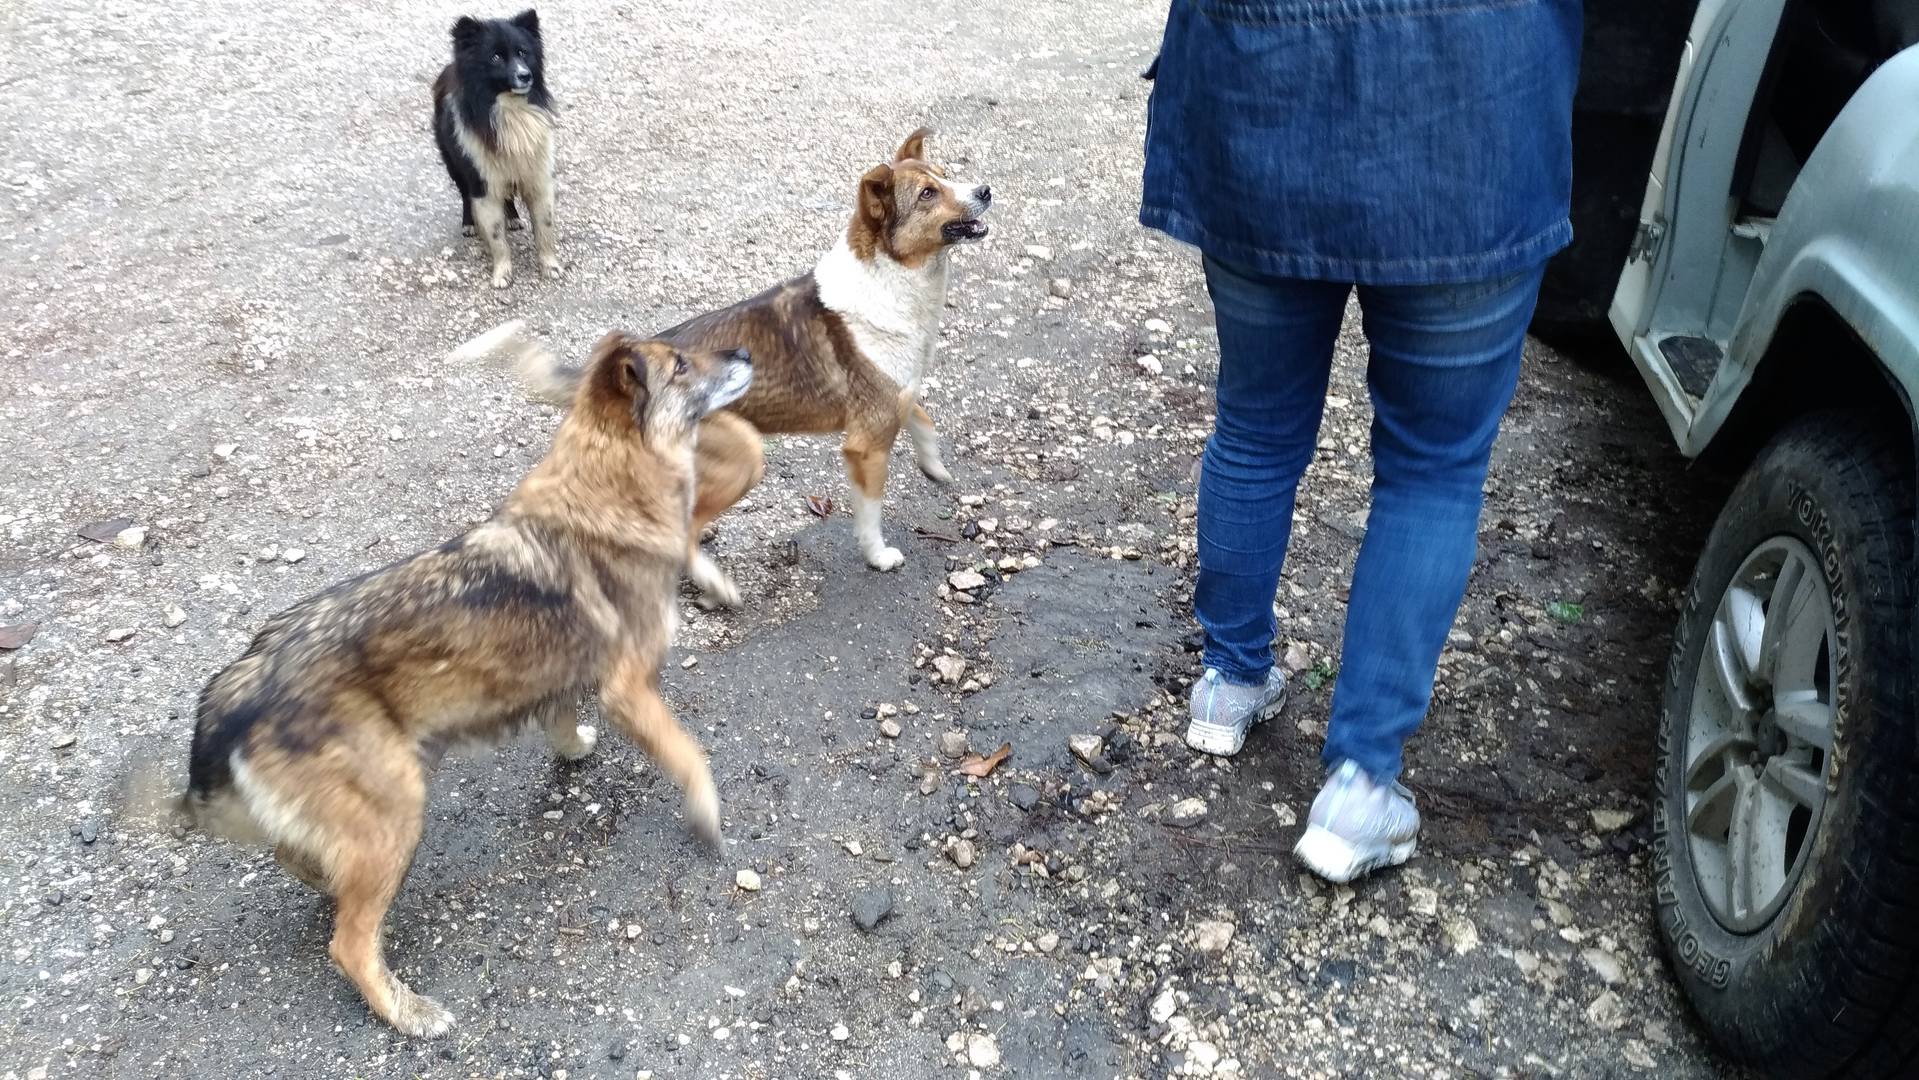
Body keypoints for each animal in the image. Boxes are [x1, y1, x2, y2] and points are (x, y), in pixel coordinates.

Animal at [173, 331, 751, 1037]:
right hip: (396, 808)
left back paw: (327, 882)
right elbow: (690, 756)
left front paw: (574, 748)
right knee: (349, 943)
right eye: (682, 365)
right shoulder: (630, 688)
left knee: (300, 861)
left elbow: (561, 717)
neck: (607, 483)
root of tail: (246, 678)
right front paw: (707, 816)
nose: (746, 355)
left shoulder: (569, 675)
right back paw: (406, 1011)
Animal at [432, 9, 560, 288]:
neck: (511, 109)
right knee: (465, 195)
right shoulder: (483, 183)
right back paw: (469, 224)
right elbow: (495, 235)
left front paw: (550, 266)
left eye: (523, 52)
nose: (525, 75)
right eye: (495, 57)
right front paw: (502, 273)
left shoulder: (536, 175)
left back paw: (513, 218)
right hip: (456, 165)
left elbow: (544, 227)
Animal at [505, 128, 992, 599]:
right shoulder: (866, 444)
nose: (986, 190)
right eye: (928, 193)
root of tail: (614, 378)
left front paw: (935, 468)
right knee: (686, 532)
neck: (893, 277)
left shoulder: (897, 395)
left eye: (945, 175)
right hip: (745, 452)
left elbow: (924, 420)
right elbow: (870, 513)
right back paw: (716, 585)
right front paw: (878, 556)